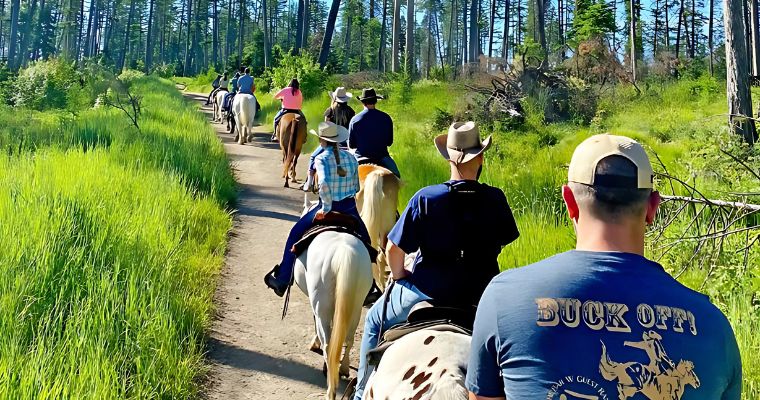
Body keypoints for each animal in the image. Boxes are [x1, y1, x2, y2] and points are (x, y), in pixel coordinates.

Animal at [292, 208, 372, 398]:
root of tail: (344, 252)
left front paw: (315, 343)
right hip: (356, 306)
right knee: (349, 338)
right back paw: (343, 368)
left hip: (322, 306)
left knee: (328, 345)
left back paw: (331, 387)